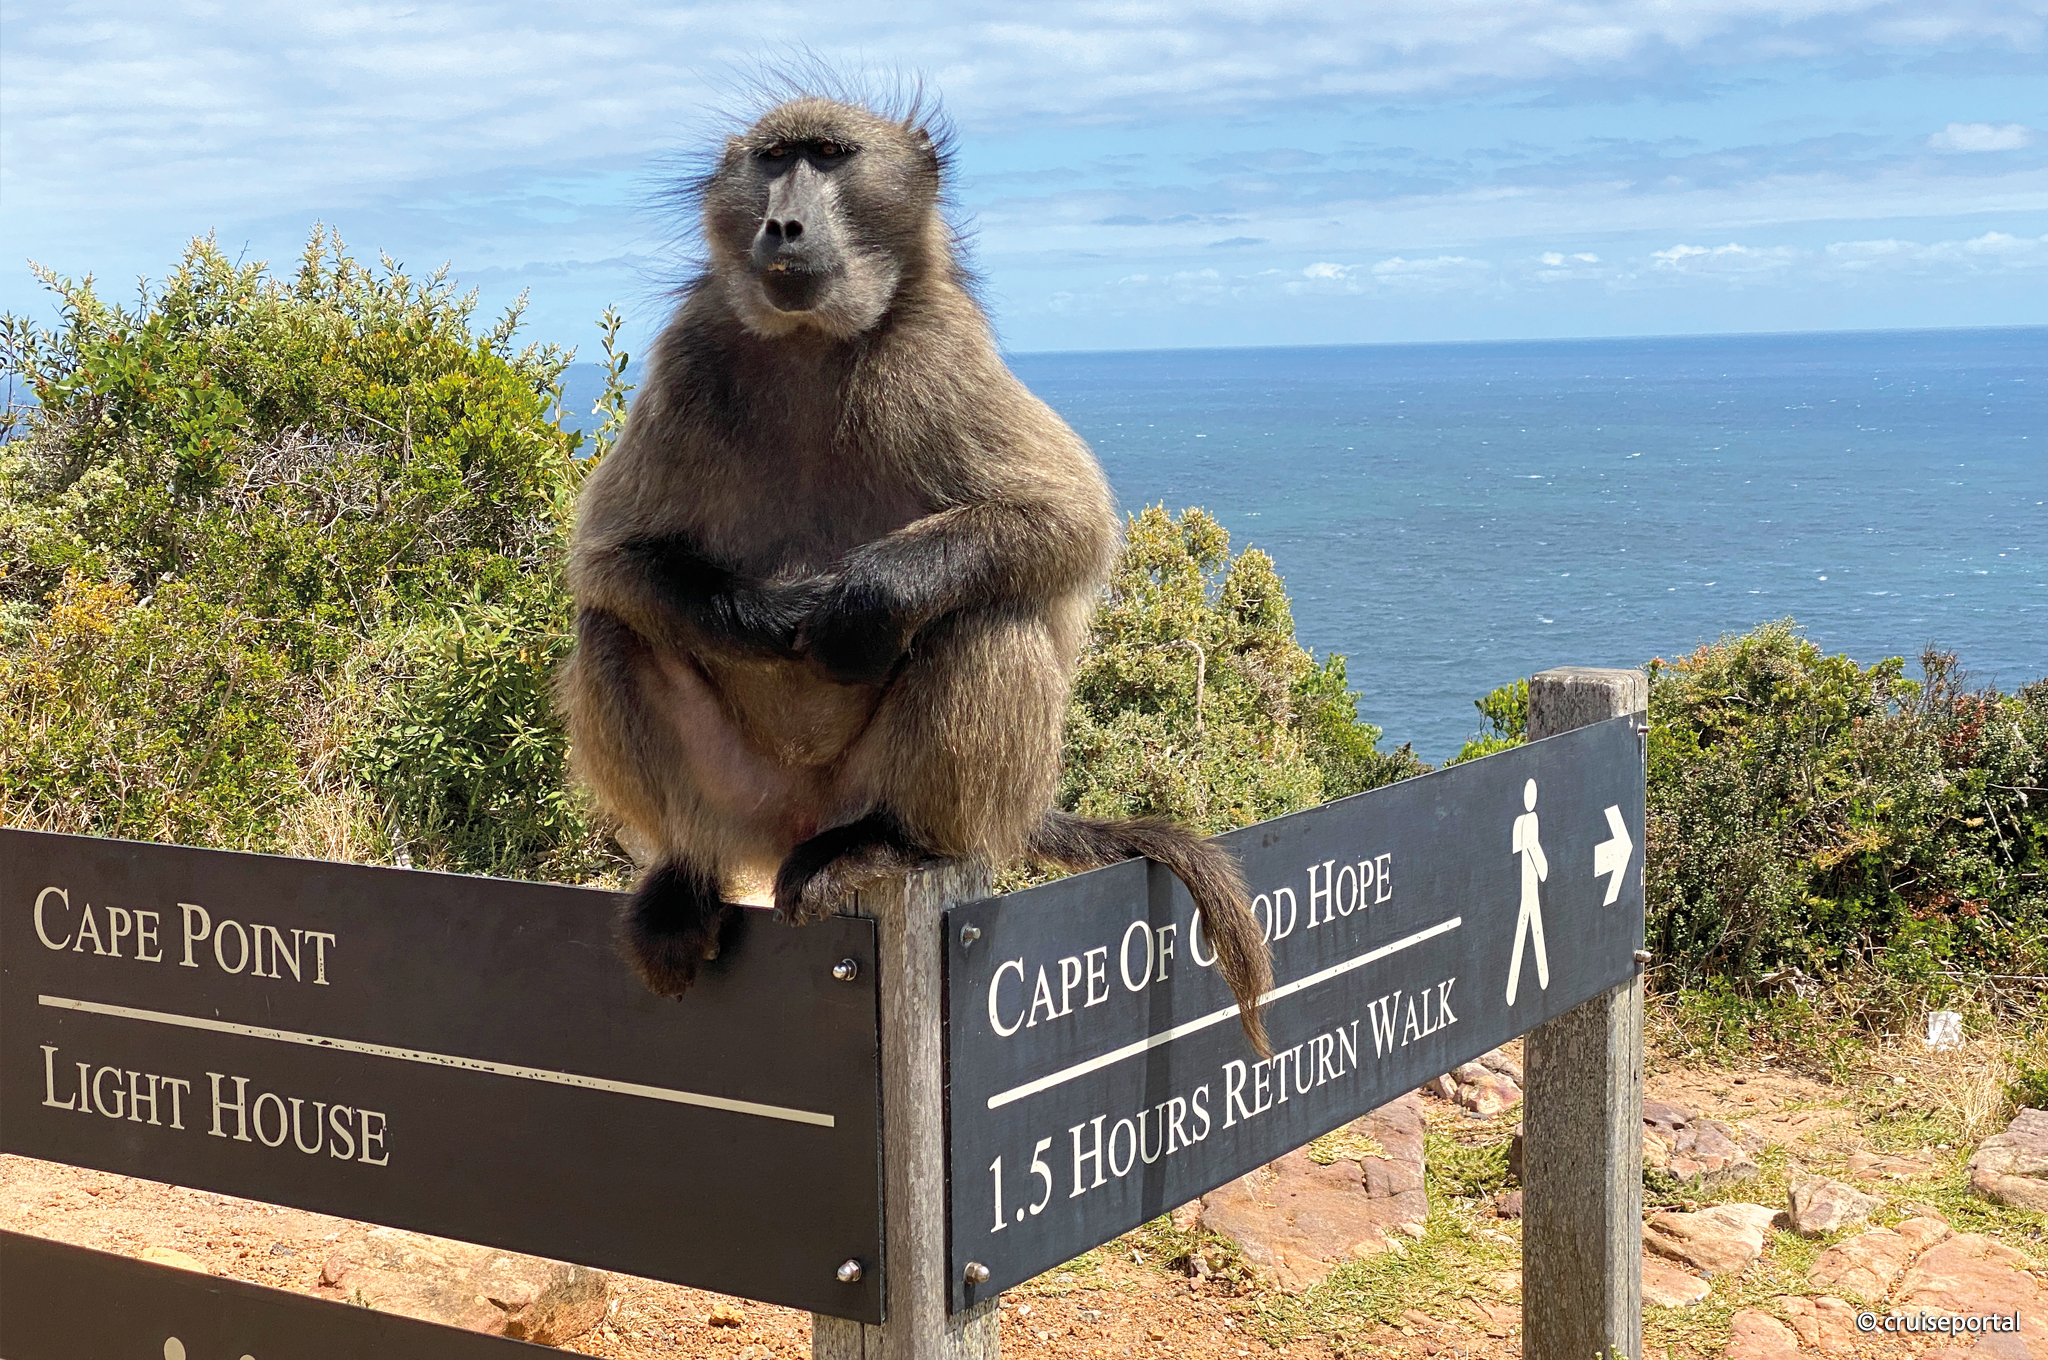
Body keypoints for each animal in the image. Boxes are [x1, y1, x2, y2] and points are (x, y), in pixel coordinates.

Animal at [557, 90, 1274, 1055]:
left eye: (829, 156)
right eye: (772, 160)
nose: (783, 225)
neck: (811, 340)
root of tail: (797, 824)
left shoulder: (941, 352)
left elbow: (1067, 520)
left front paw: (863, 604)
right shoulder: (687, 356)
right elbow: (608, 560)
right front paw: (764, 617)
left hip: (889, 787)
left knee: (986, 619)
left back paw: (893, 843)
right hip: (738, 799)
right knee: (613, 632)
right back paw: (685, 877)